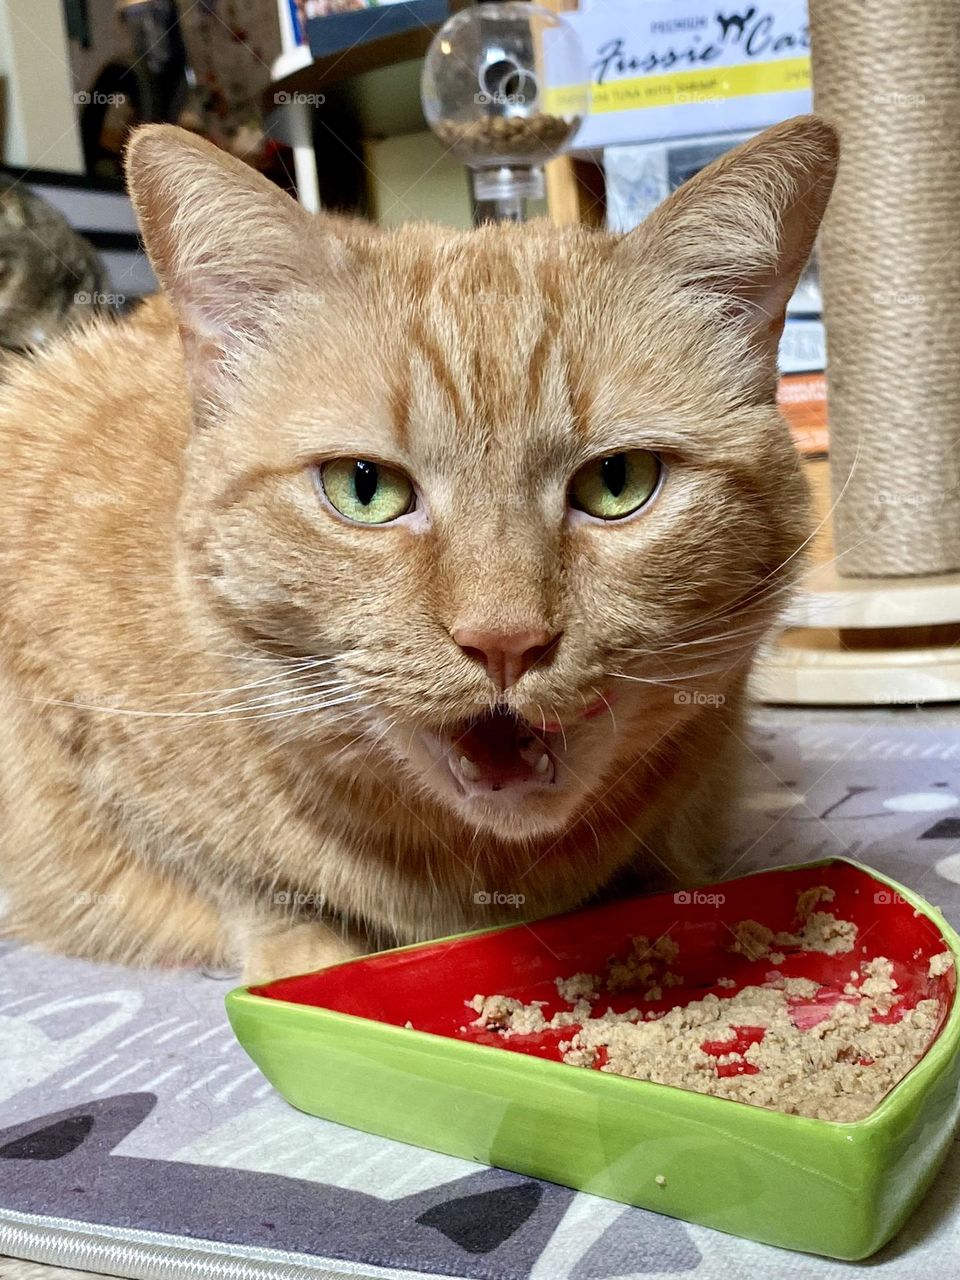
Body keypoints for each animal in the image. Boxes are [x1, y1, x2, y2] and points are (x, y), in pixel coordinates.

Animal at [0, 120, 834, 977]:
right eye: (364, 488)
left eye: (618, 482)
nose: (505, 641)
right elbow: (245, 885)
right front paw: (307, 958)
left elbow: (672, 857)